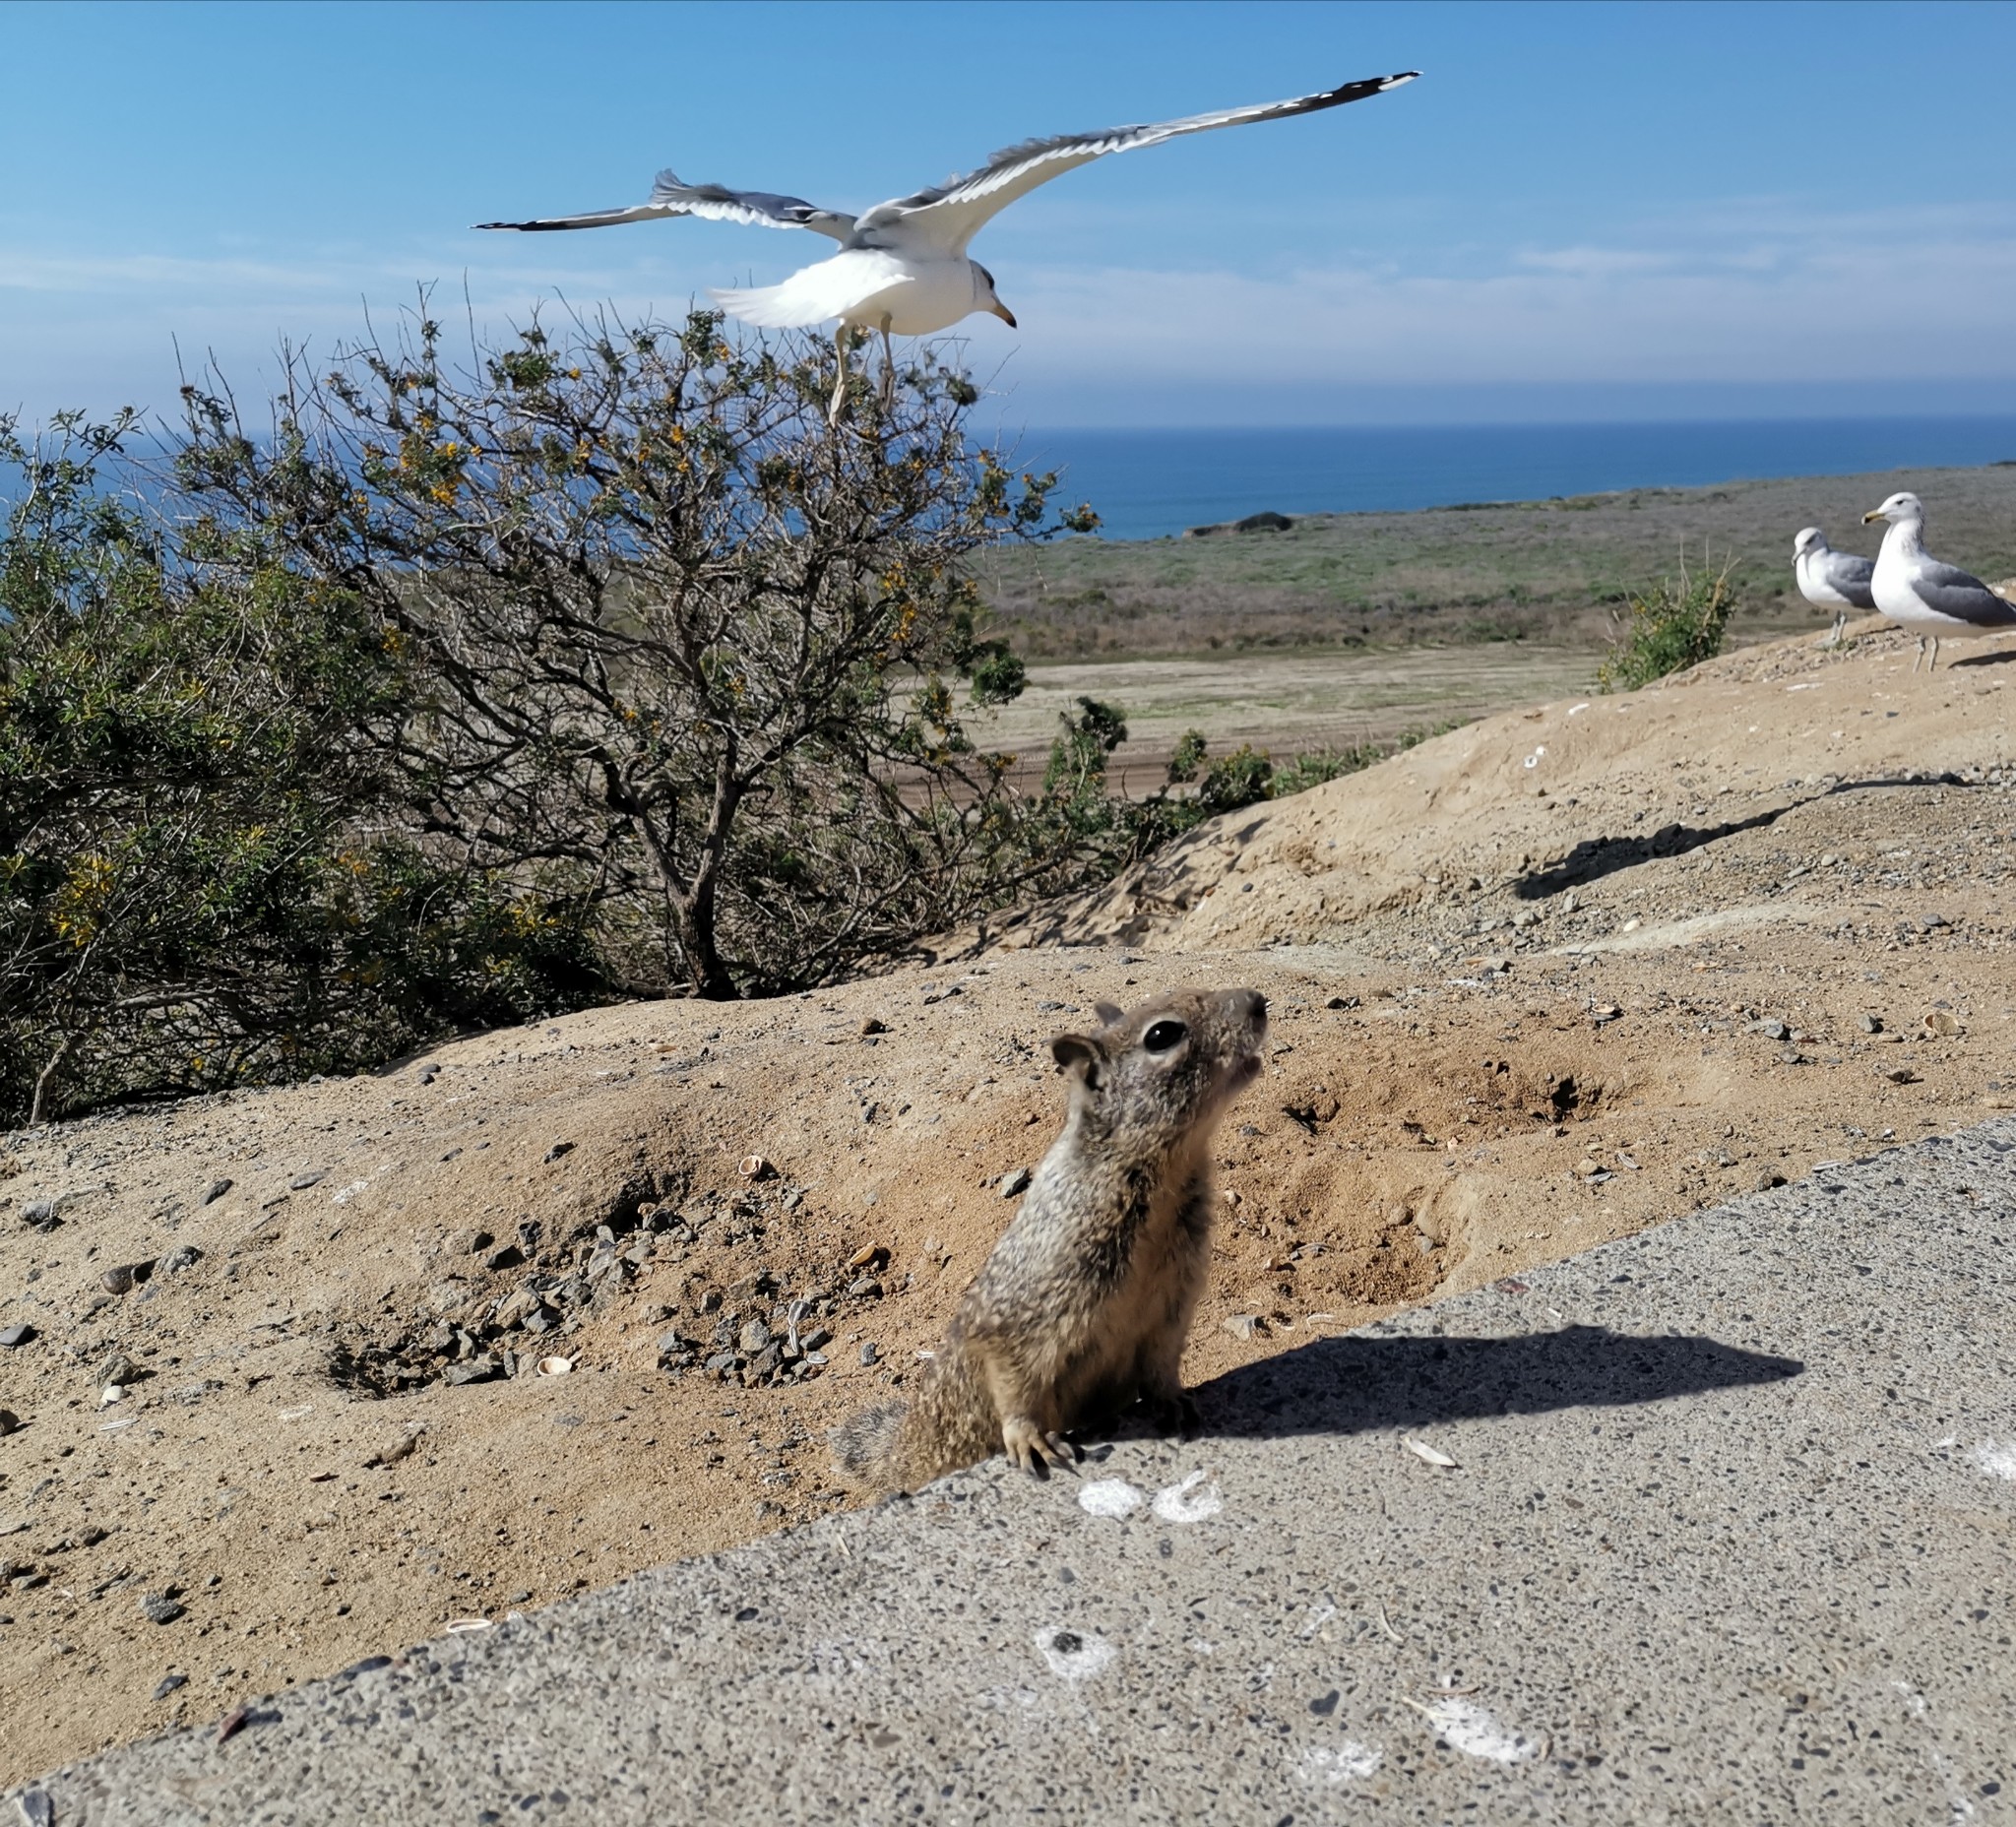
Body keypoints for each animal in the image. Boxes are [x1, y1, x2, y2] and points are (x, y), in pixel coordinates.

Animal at [830, 987, 1266, 1491]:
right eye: (1162, 1034)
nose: (1258, 1001)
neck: (1163, 1177)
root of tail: (902, 1451)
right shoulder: (1025, 1316)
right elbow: (1014, 1382)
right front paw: (1030, 1439)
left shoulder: (1173, 1305)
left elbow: (1161, 1366)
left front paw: (1172, 1400)